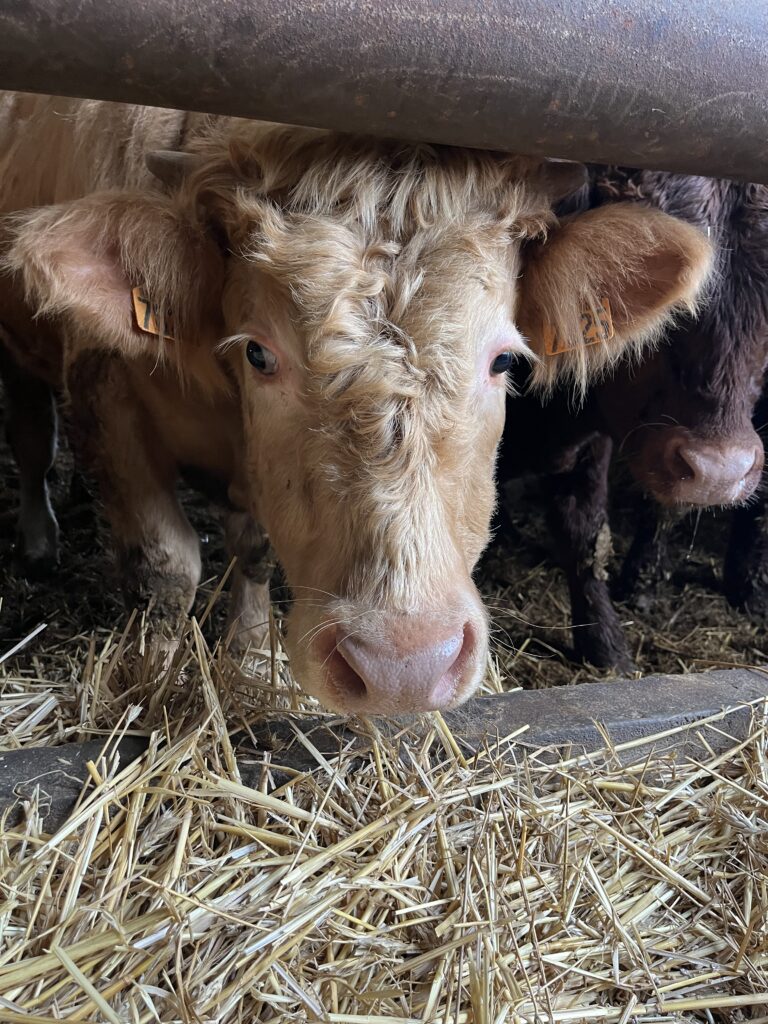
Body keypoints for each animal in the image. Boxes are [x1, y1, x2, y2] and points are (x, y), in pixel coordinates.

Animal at [0, 93, 712, 714]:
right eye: (259, 353)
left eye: (504, 360)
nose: (404, 665)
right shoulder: (105, 401)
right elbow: (163, 568)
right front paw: (151, 679)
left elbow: (253, 547)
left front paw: (250, 652)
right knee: (32, 441)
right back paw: (36, 538)